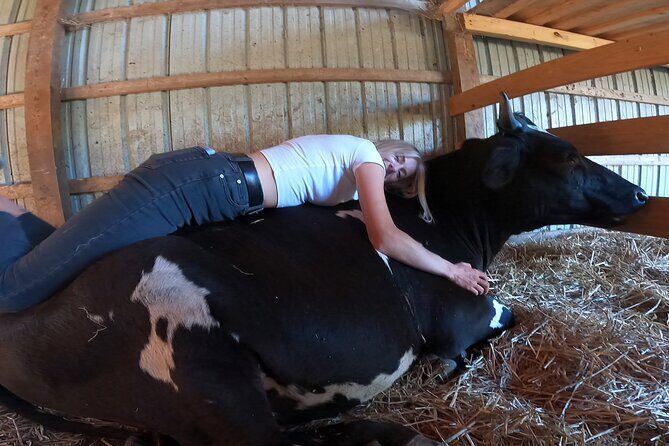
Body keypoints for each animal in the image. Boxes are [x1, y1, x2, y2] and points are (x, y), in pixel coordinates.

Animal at [0, 95, 647, 445]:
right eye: (566, 155)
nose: (641, 191)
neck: (450, 221)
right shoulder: (465, 313)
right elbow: (509, 317)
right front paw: (447, 369)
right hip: (205, 370)